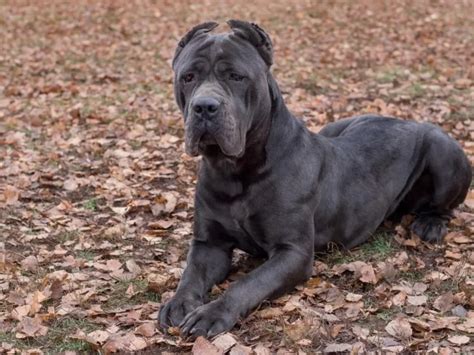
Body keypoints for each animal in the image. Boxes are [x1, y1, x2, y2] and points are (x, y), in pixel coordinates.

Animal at [158, 20, 470, 340]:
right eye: (188, 77)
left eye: (236, 76)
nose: (204, 107)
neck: (235, 173)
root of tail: (406, 120)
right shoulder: (209, 244)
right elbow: (191, 273)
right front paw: (178, 303)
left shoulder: (292, 252)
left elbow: (248, 283)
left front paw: (212, 313)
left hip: (443, 148)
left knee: (444, 205)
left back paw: (430, 224)